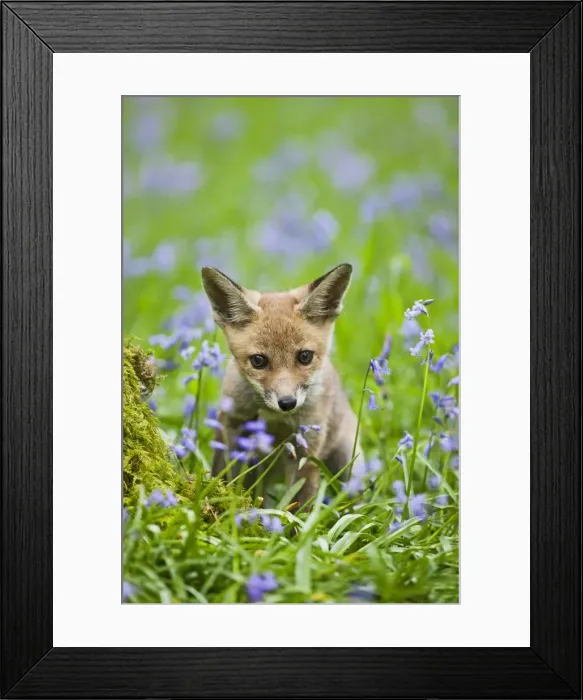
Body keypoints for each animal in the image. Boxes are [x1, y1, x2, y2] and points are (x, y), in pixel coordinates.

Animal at [201, 263, 363, 507]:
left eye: (305, 356)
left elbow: (297, 507)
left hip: (347, 463)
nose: (287, 403)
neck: (274, 419)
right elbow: (228, 481)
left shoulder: (305, 449)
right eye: (258, 361)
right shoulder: (233, 427)